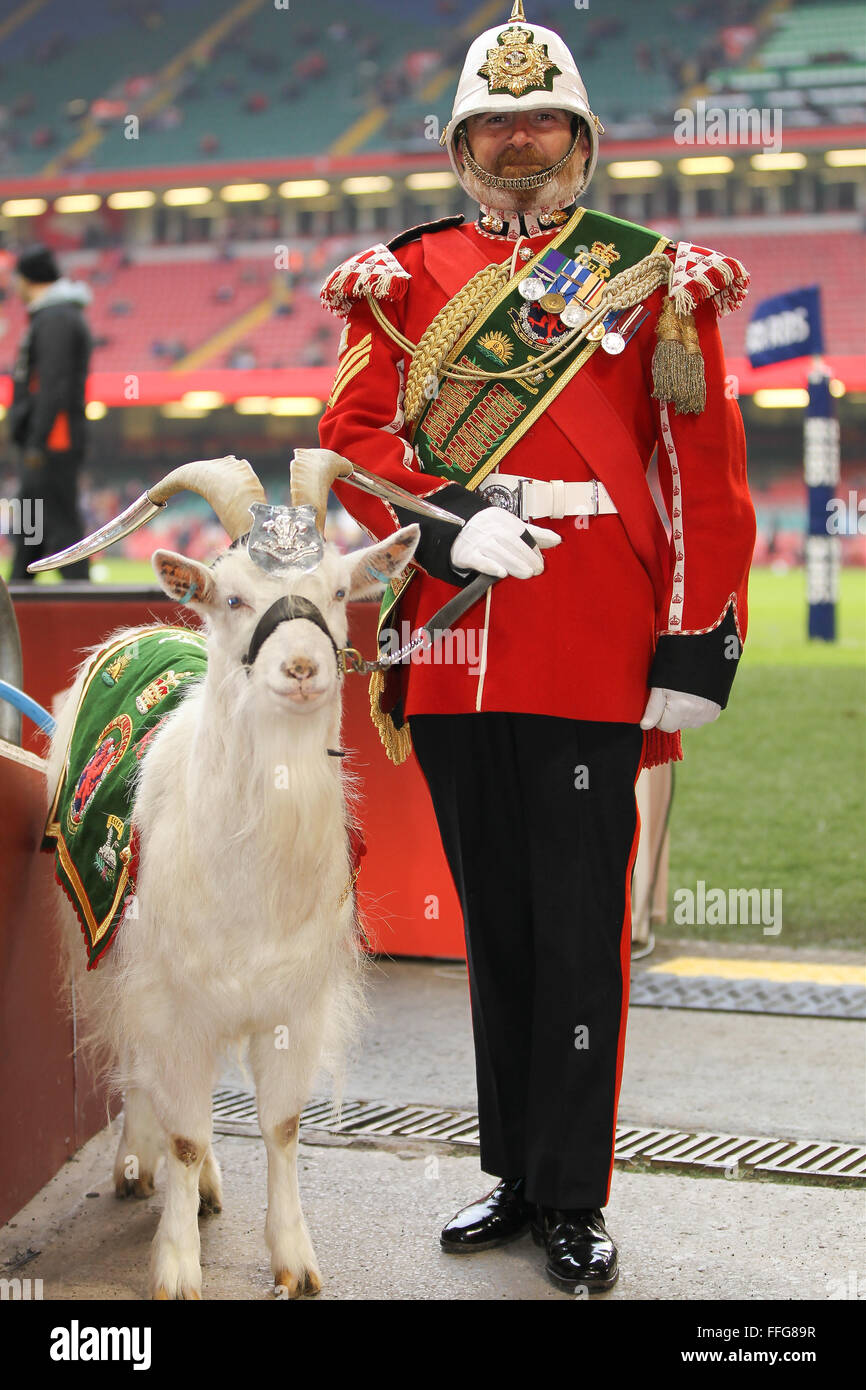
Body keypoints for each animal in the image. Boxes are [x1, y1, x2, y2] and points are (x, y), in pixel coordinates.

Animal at [45, 450, 422, 1295]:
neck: (253, 883)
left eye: (339, 591)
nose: (304, 666)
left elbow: (280, 1125)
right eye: (233, 594)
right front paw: (178, 1266)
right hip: (108, 951)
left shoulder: (292, 1007)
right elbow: (182, 1130)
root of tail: (151, 626)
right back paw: (136, 1164)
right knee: (140, 1070)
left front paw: (294, 1260)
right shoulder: (166, 994)